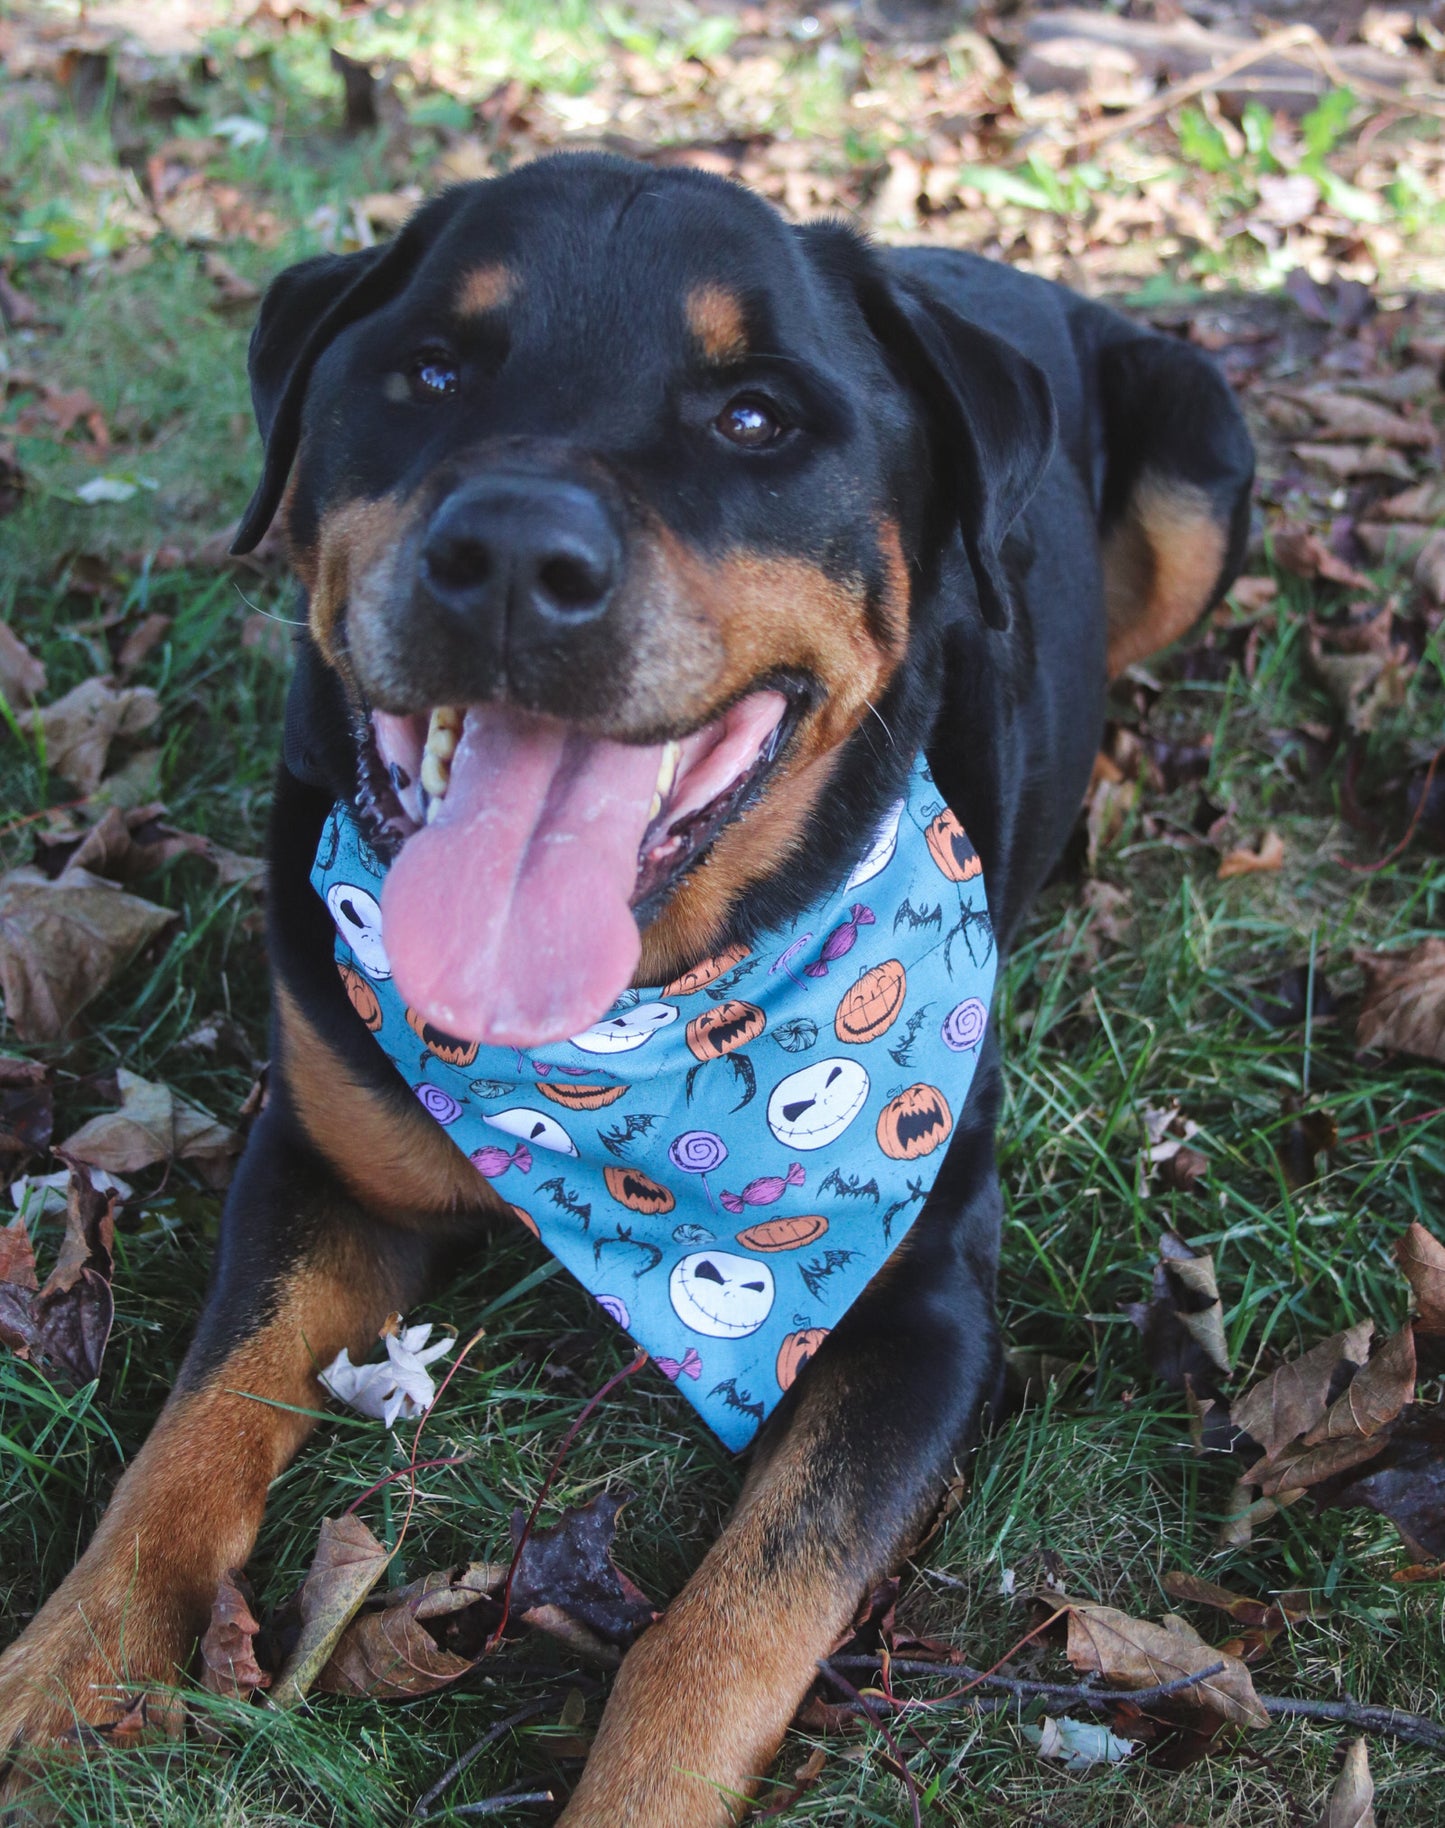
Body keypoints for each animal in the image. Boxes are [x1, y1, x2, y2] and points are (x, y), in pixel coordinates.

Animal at [0, 157, 1258, 1828]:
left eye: (757, 415)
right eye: (429, 371)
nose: (513, 558)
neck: (632, 1037)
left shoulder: (922, 1302)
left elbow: (735, 1618)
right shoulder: (319, 1163)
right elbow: (197, 1424)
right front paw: (66, 1659)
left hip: (1197, 466)